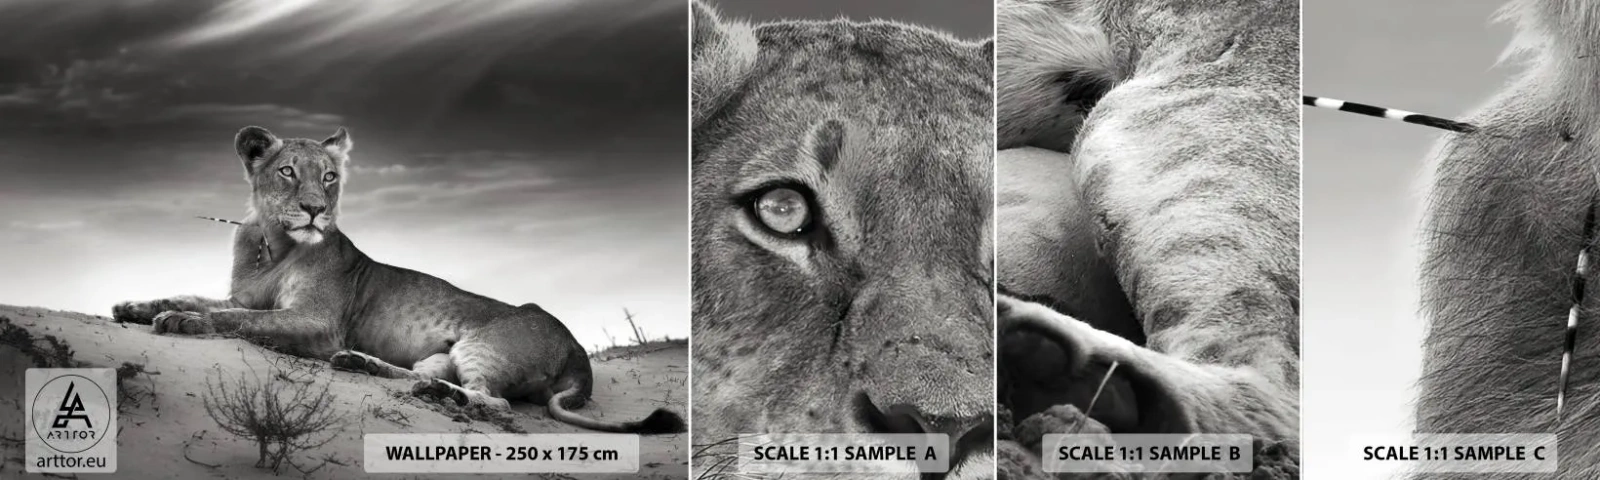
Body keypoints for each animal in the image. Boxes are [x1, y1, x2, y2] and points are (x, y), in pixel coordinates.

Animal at [110, 126, 685, 435]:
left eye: (329, 177)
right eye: (288, 172)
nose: (316, 210)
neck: (272, 243)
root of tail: (579, 353)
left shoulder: (317, 324)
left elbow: (235, 319)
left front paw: (182, 321)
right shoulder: (250, 296)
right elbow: (203, 298)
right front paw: (136, 307)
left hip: (482, 345)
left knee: (492, 401)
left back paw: (435, 394)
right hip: (441, 352)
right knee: (423, 376)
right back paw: (369, 367)